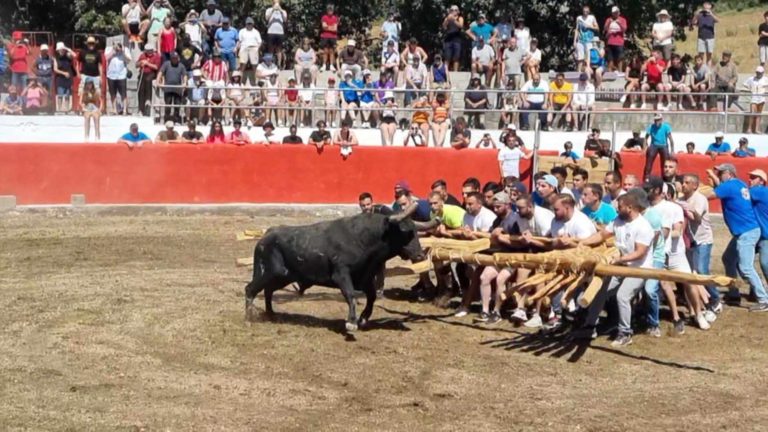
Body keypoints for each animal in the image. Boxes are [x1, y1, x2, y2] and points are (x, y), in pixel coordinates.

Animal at [244, 213, 426, 330]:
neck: (363, 238)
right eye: (404, 232)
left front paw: (363, 318)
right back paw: (248, 319)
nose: (420, 254)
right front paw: (351, 322)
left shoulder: (365, 278)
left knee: (267, 290)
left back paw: (271, 314)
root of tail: (266, 235)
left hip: (282, 276)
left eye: (416, 232)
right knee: (250, 289)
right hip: (270, 272)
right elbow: (351, 295)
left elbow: (372, 297)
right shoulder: (341, 274)